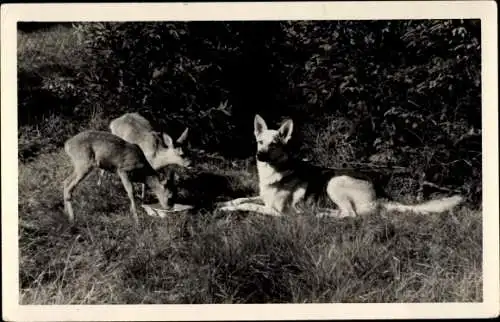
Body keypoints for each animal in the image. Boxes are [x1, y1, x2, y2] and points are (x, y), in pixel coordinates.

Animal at [219, 114, 464, 218]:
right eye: (260, 142)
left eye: (275, 144)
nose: (260, 155)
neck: (275, 173)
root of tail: (380, 196)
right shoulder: (262, 197)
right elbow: (243, 198)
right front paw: (224, 202)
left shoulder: (276, 211)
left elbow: (249, 206)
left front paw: (227, 209)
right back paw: (322, 212)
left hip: (334, 182)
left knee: (350, 215)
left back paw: (321, 216)